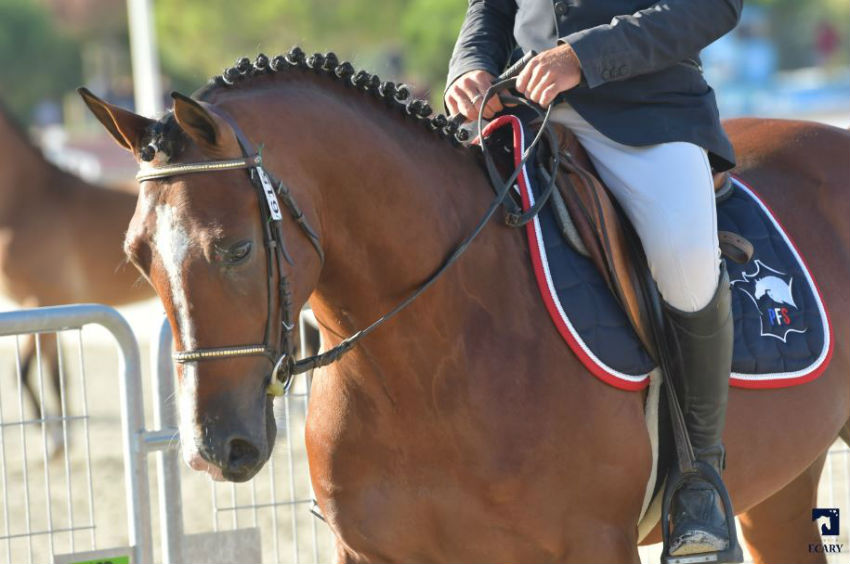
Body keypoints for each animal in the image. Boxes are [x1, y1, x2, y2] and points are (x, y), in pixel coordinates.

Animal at [0, 101, 152, 436]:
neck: (28, 204)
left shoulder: (44, 298)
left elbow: (25, 370)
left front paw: (51, 431)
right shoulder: (49, 308)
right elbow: (56, 373)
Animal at [81, 50, 848, 560]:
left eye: (237, 249)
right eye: (138, 257)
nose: (216, 449)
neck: (427, 366)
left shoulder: (591, 542)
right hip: (779, 489)